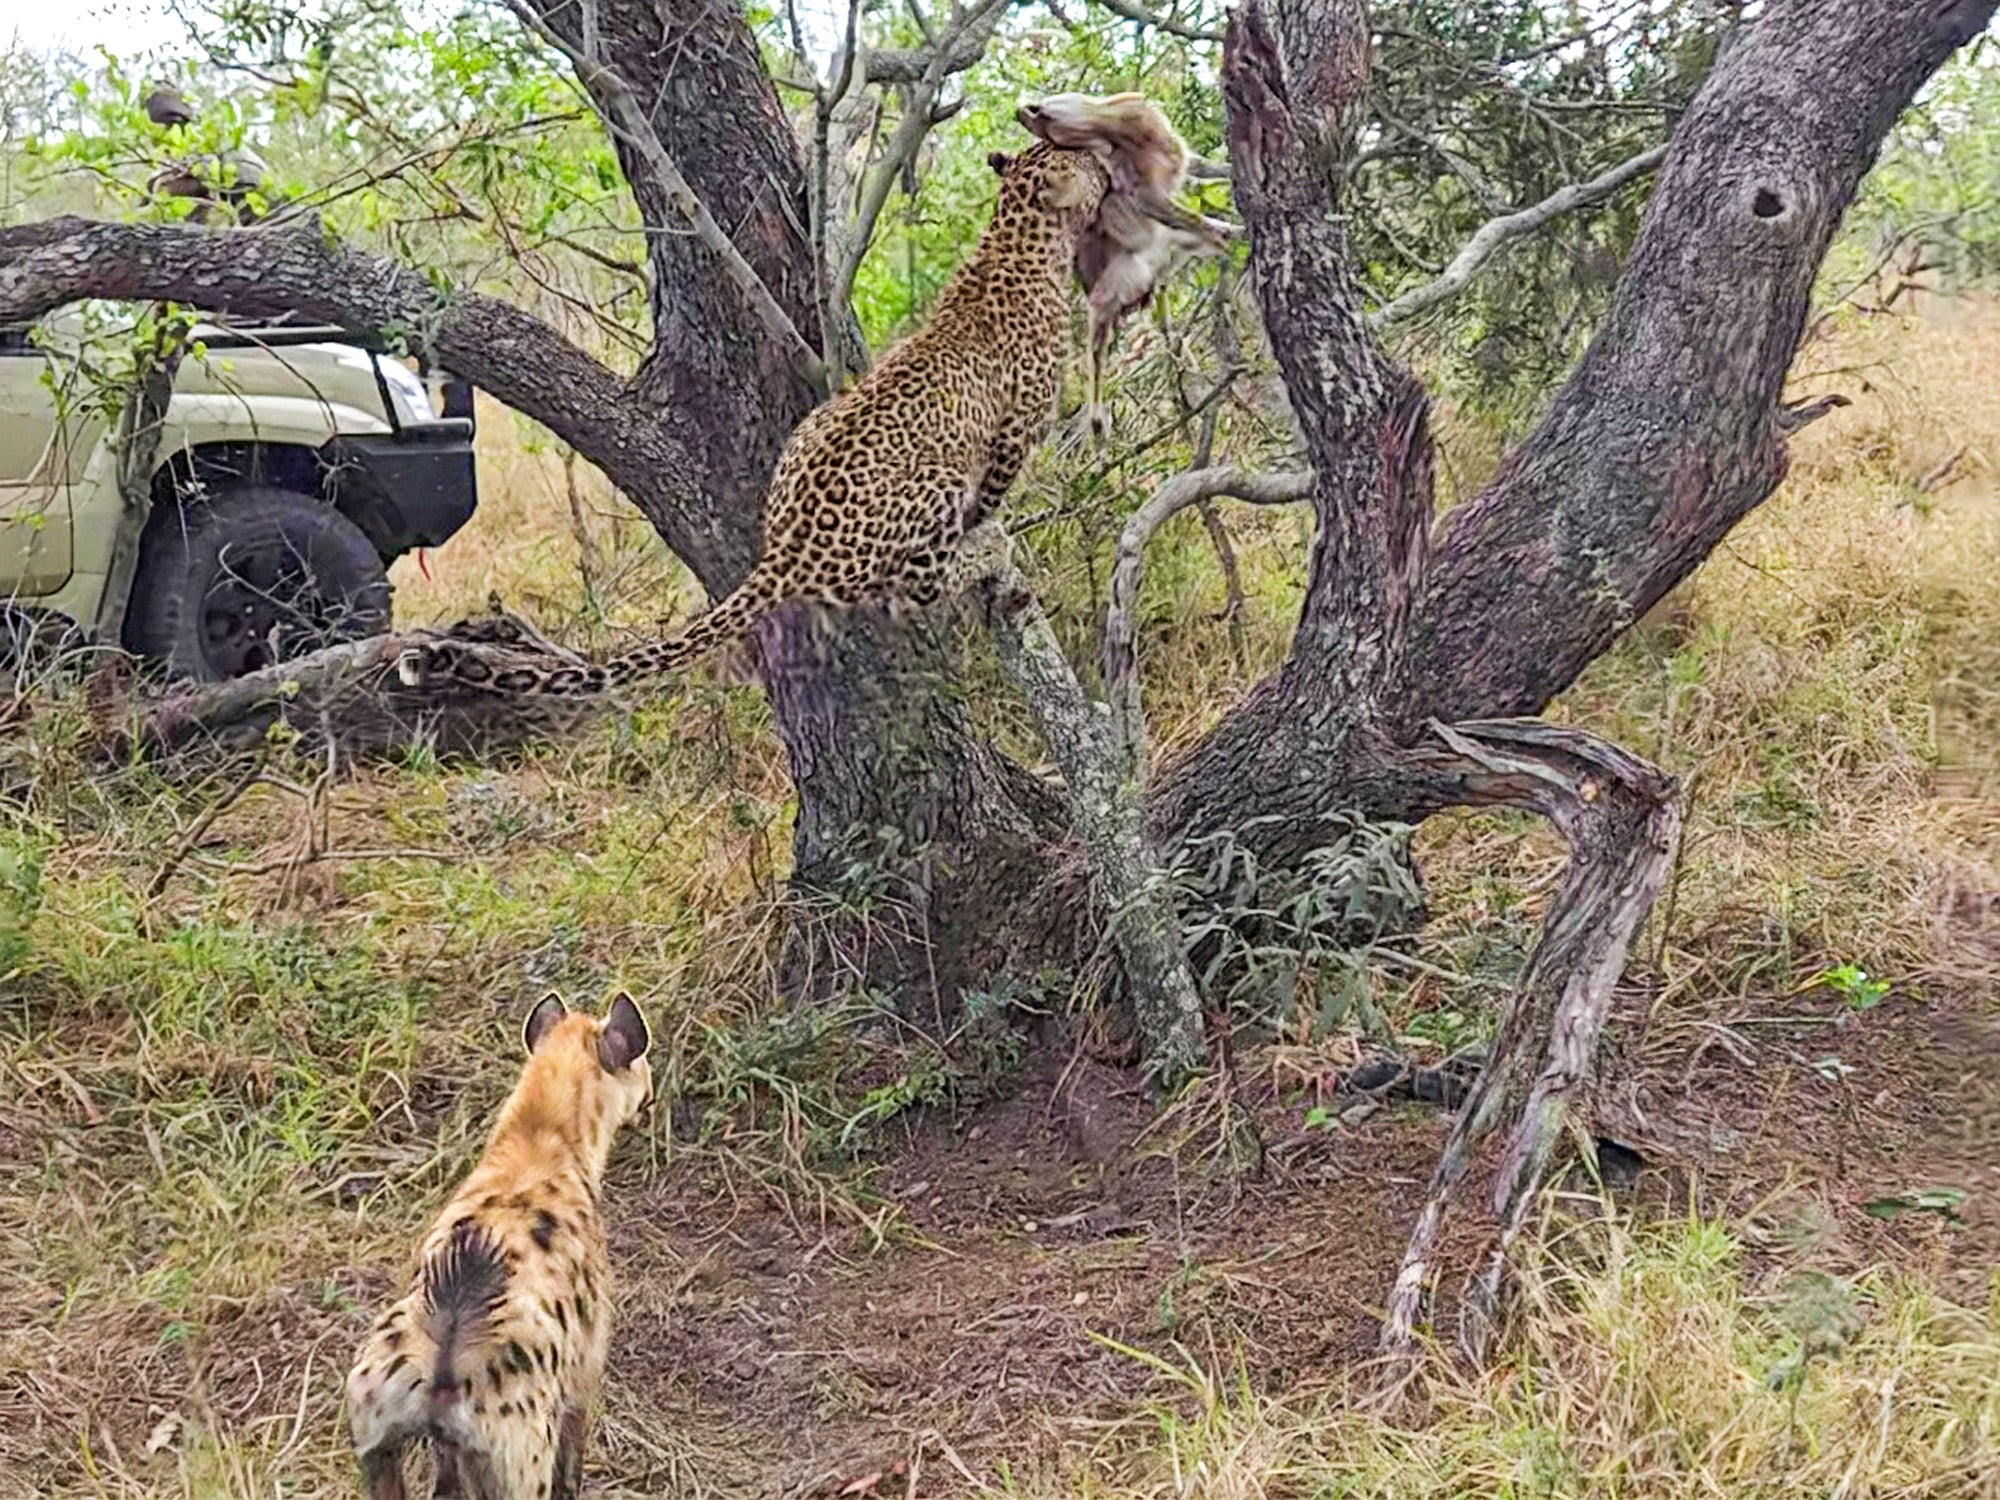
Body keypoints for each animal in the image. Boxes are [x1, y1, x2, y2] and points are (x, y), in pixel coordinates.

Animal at [344, 991, 653, 1500]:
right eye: (644, 1064)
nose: (650, 1098)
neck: (541, 1138)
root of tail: (444, 1363)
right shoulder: (587, 1366)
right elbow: (574, 1460)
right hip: (521, 1459)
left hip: (374, 1432)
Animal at [393, 140, 1115, 700]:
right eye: (1083, 159)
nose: (1108, 162)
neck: (1016, 239)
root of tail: (784, 550)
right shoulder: (1015, 431)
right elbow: (992, 494)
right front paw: (991, 535)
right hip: (931, 487)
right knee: (923, 581)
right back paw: (981, 551)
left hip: (809, 430)